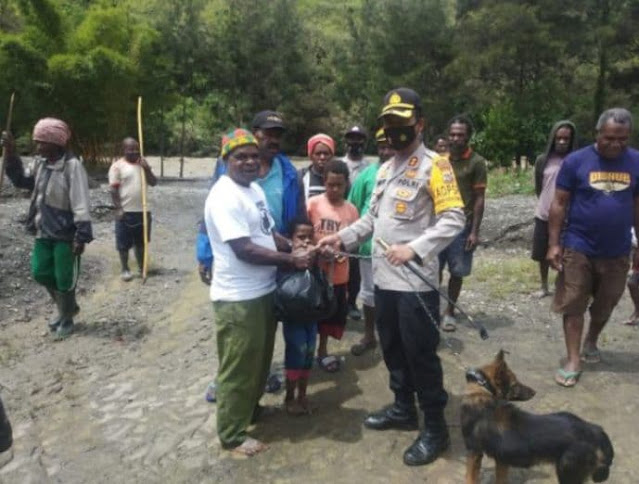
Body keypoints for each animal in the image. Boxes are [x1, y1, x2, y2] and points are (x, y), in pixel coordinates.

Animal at [460, 352, 616, 484]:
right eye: (515, 384)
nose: (534, 392)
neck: (482, 391)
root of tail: (593, 430)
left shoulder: (474, 453)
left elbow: (470, 478)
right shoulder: (501, 460)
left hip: (567, 472)